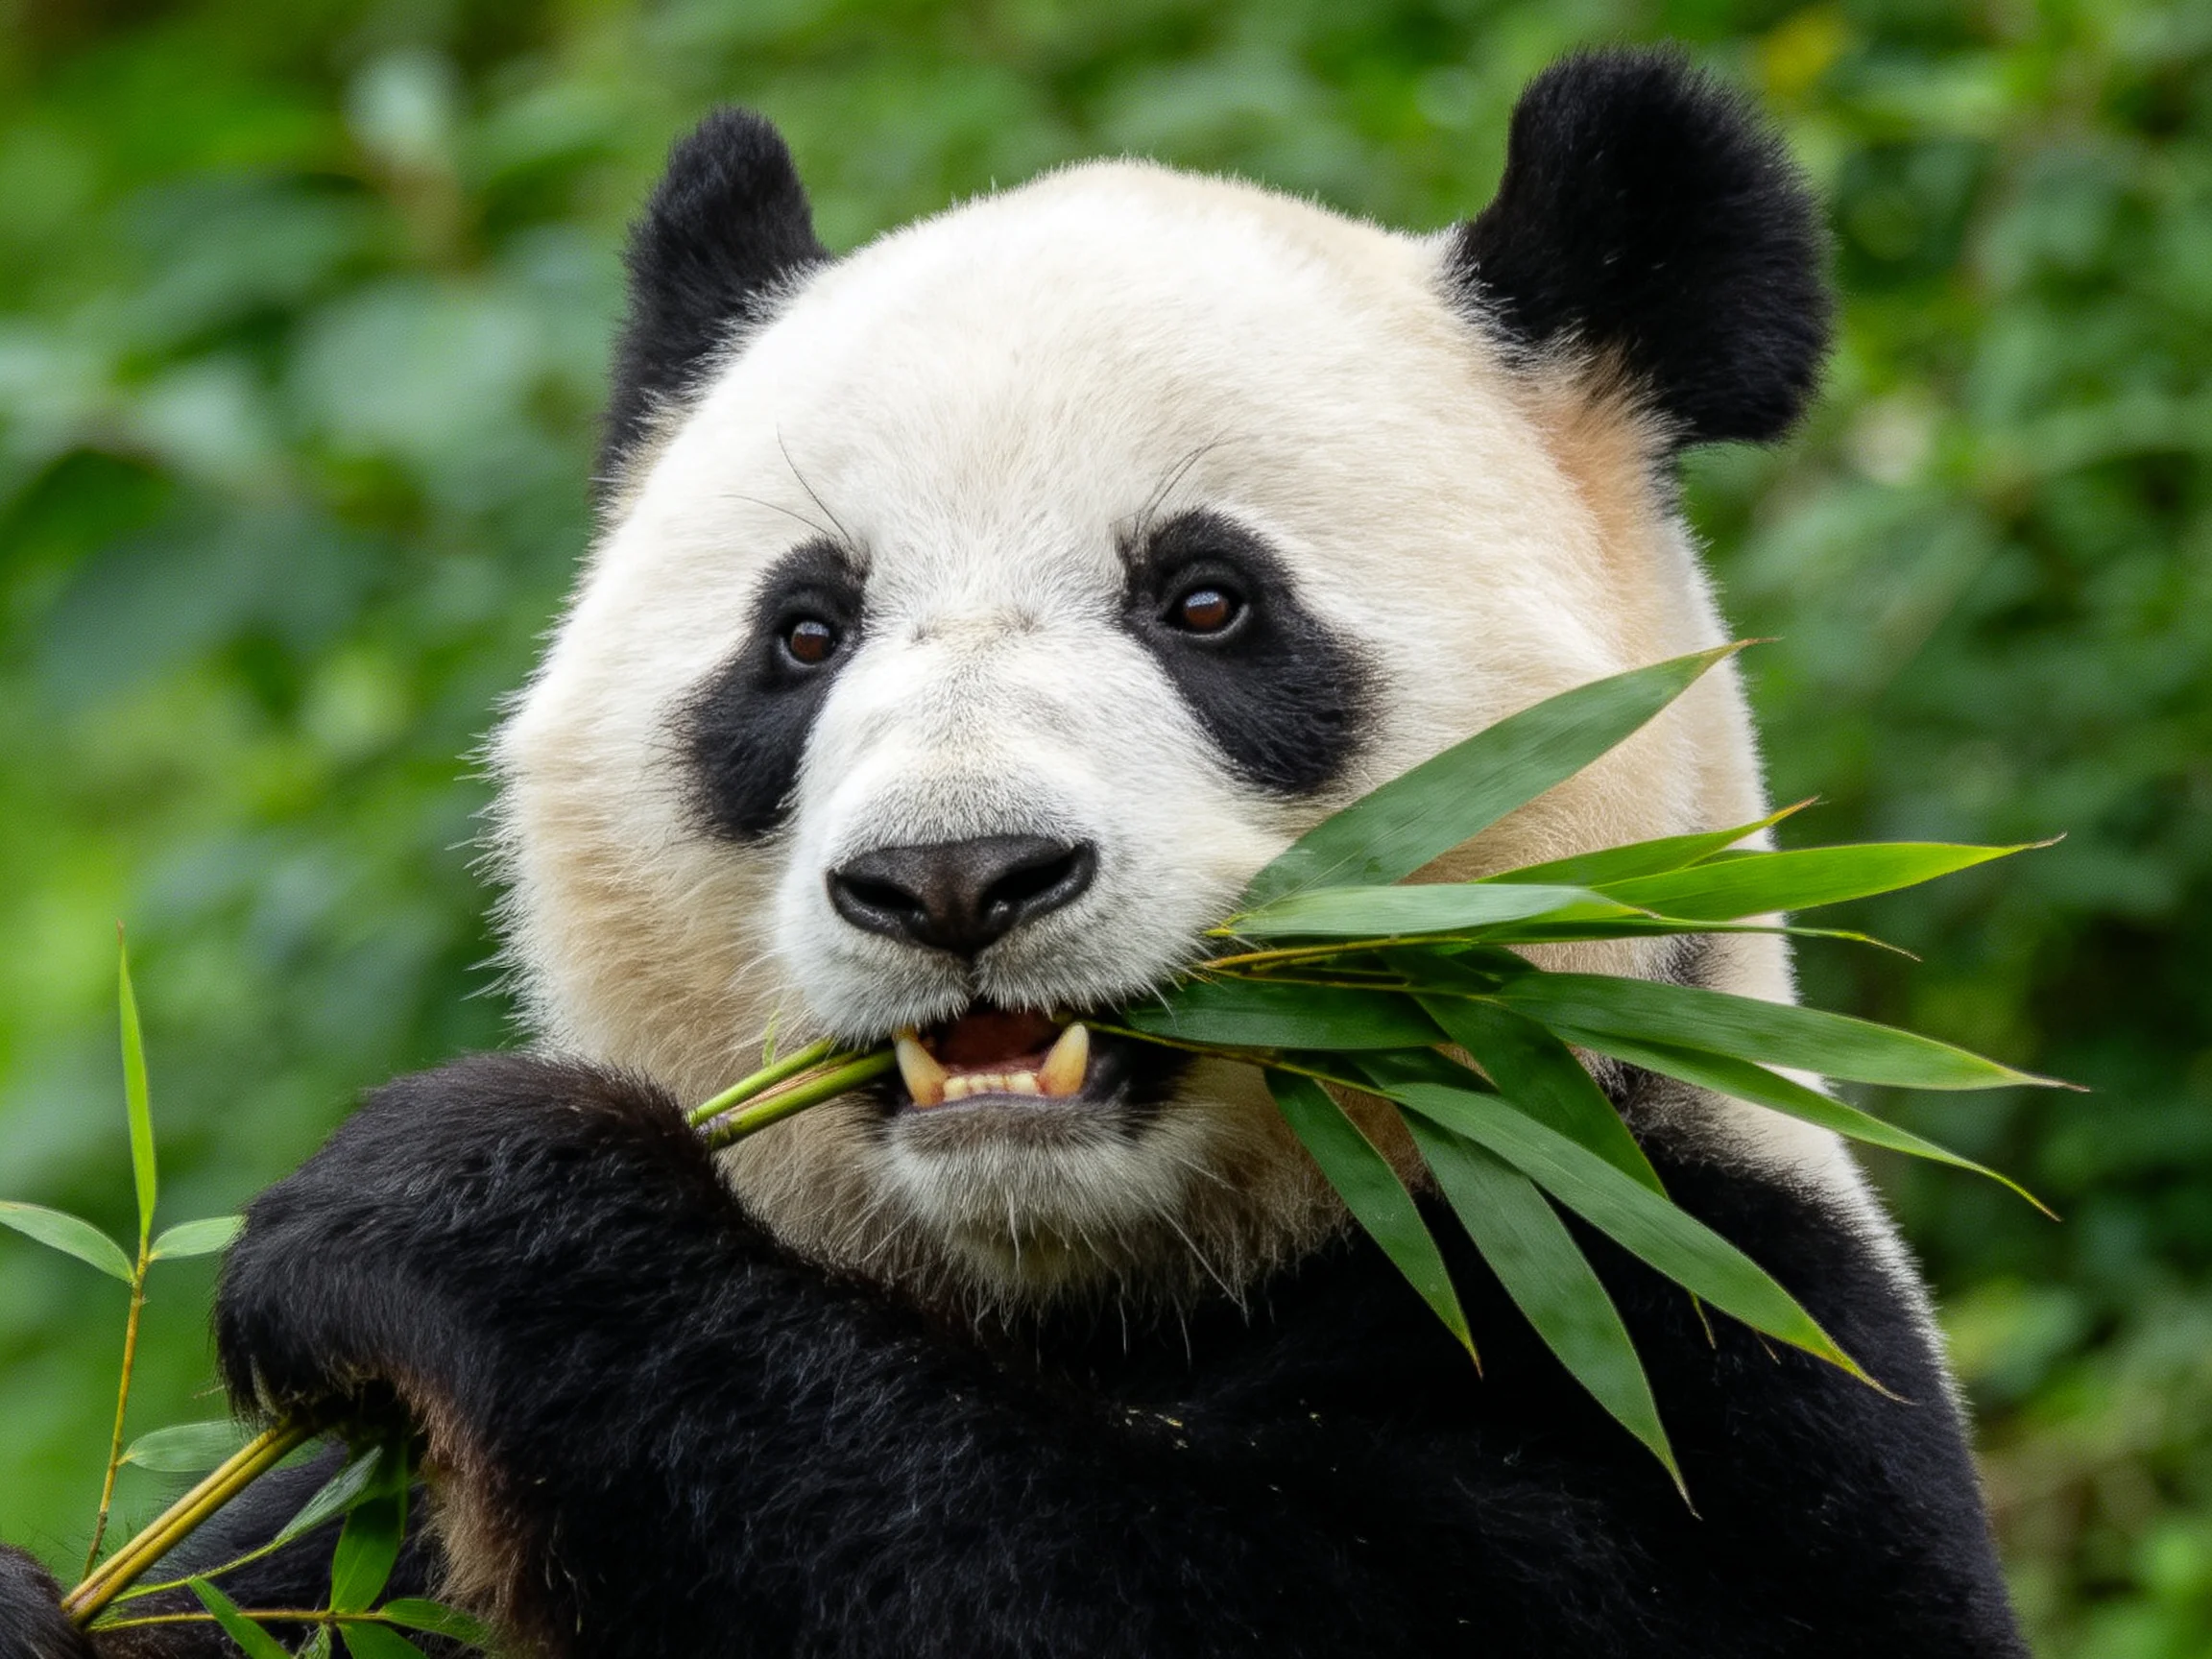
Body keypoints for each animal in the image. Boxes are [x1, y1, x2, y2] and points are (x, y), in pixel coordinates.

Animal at [2, 46, 2027, 1659]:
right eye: (801, 632)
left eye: (1206, 600)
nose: (955, 880)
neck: (1089, 1283)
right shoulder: (351, 1528)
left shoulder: (1683, 1319)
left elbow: (1127, 1576)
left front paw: (454, 1202)